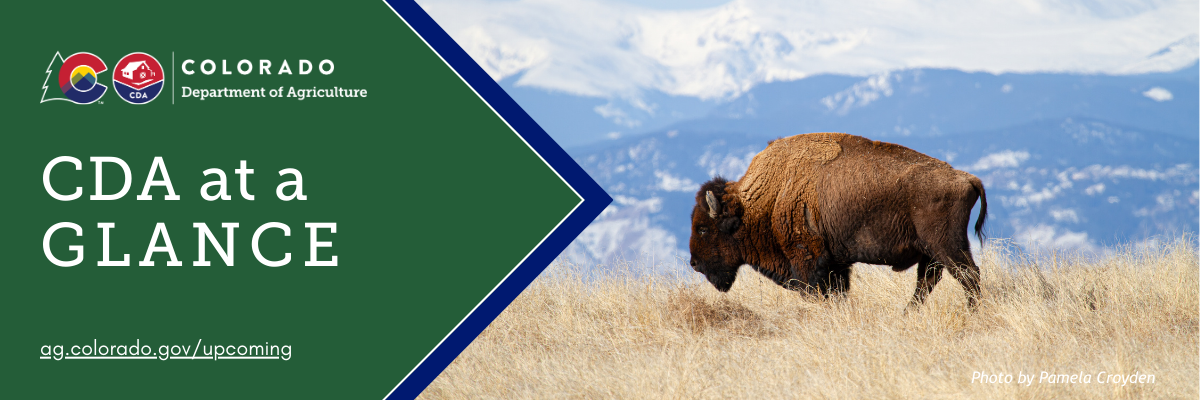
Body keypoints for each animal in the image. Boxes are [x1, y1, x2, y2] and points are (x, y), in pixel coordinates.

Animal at [688, 132, 987, 309]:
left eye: (702, 229)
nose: (694, 263)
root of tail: (967, 178)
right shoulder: (836, 264)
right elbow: (839, 291)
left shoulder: (807, 260)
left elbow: (818, 291)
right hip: (932, 252)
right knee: (927, 282)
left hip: (947, 246)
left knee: (967, 275)